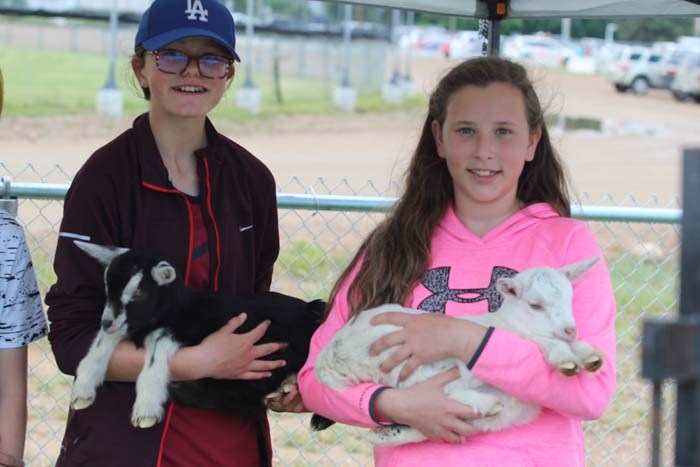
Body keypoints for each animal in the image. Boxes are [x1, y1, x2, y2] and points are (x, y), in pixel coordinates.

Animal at [68, 243, 328, 430]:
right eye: (107, 287)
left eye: (139, 292)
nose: (106, 322)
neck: (181, 309)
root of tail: (309, 310)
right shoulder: (132, 326)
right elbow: (103, 341)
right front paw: (82, 390)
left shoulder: (183, 330)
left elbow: (156, 348)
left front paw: (146, 409)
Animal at [314, 258, 604, 448]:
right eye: (535, 305)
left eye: (570, 299)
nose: (570, 329)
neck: (506, 323)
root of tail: (327, 357)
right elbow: (542, 342)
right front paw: (566, 360)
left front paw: (590, 356)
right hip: (396, 357)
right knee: (430, 391)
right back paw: (484, 402)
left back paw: (384, 435)